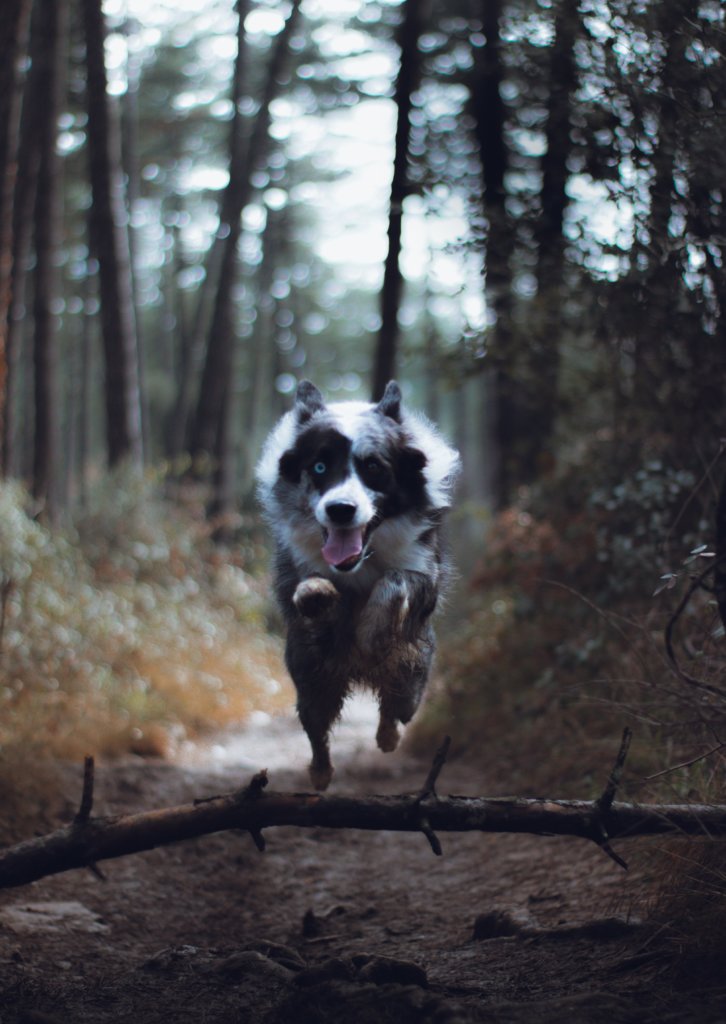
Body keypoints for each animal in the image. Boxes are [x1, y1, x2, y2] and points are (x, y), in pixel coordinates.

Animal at [254, 380, 458, 786]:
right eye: (318, 466)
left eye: (374, 467)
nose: (340, 510)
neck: (359, 562)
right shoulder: (298, 582)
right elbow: (309, 592)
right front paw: (318, 594)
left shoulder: (424, 572)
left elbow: (396, 580)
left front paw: (372, 633)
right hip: (310, 677)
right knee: (316, 730)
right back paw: (320, 774)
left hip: (411, 674)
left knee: (395, 712)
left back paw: (387, 738)